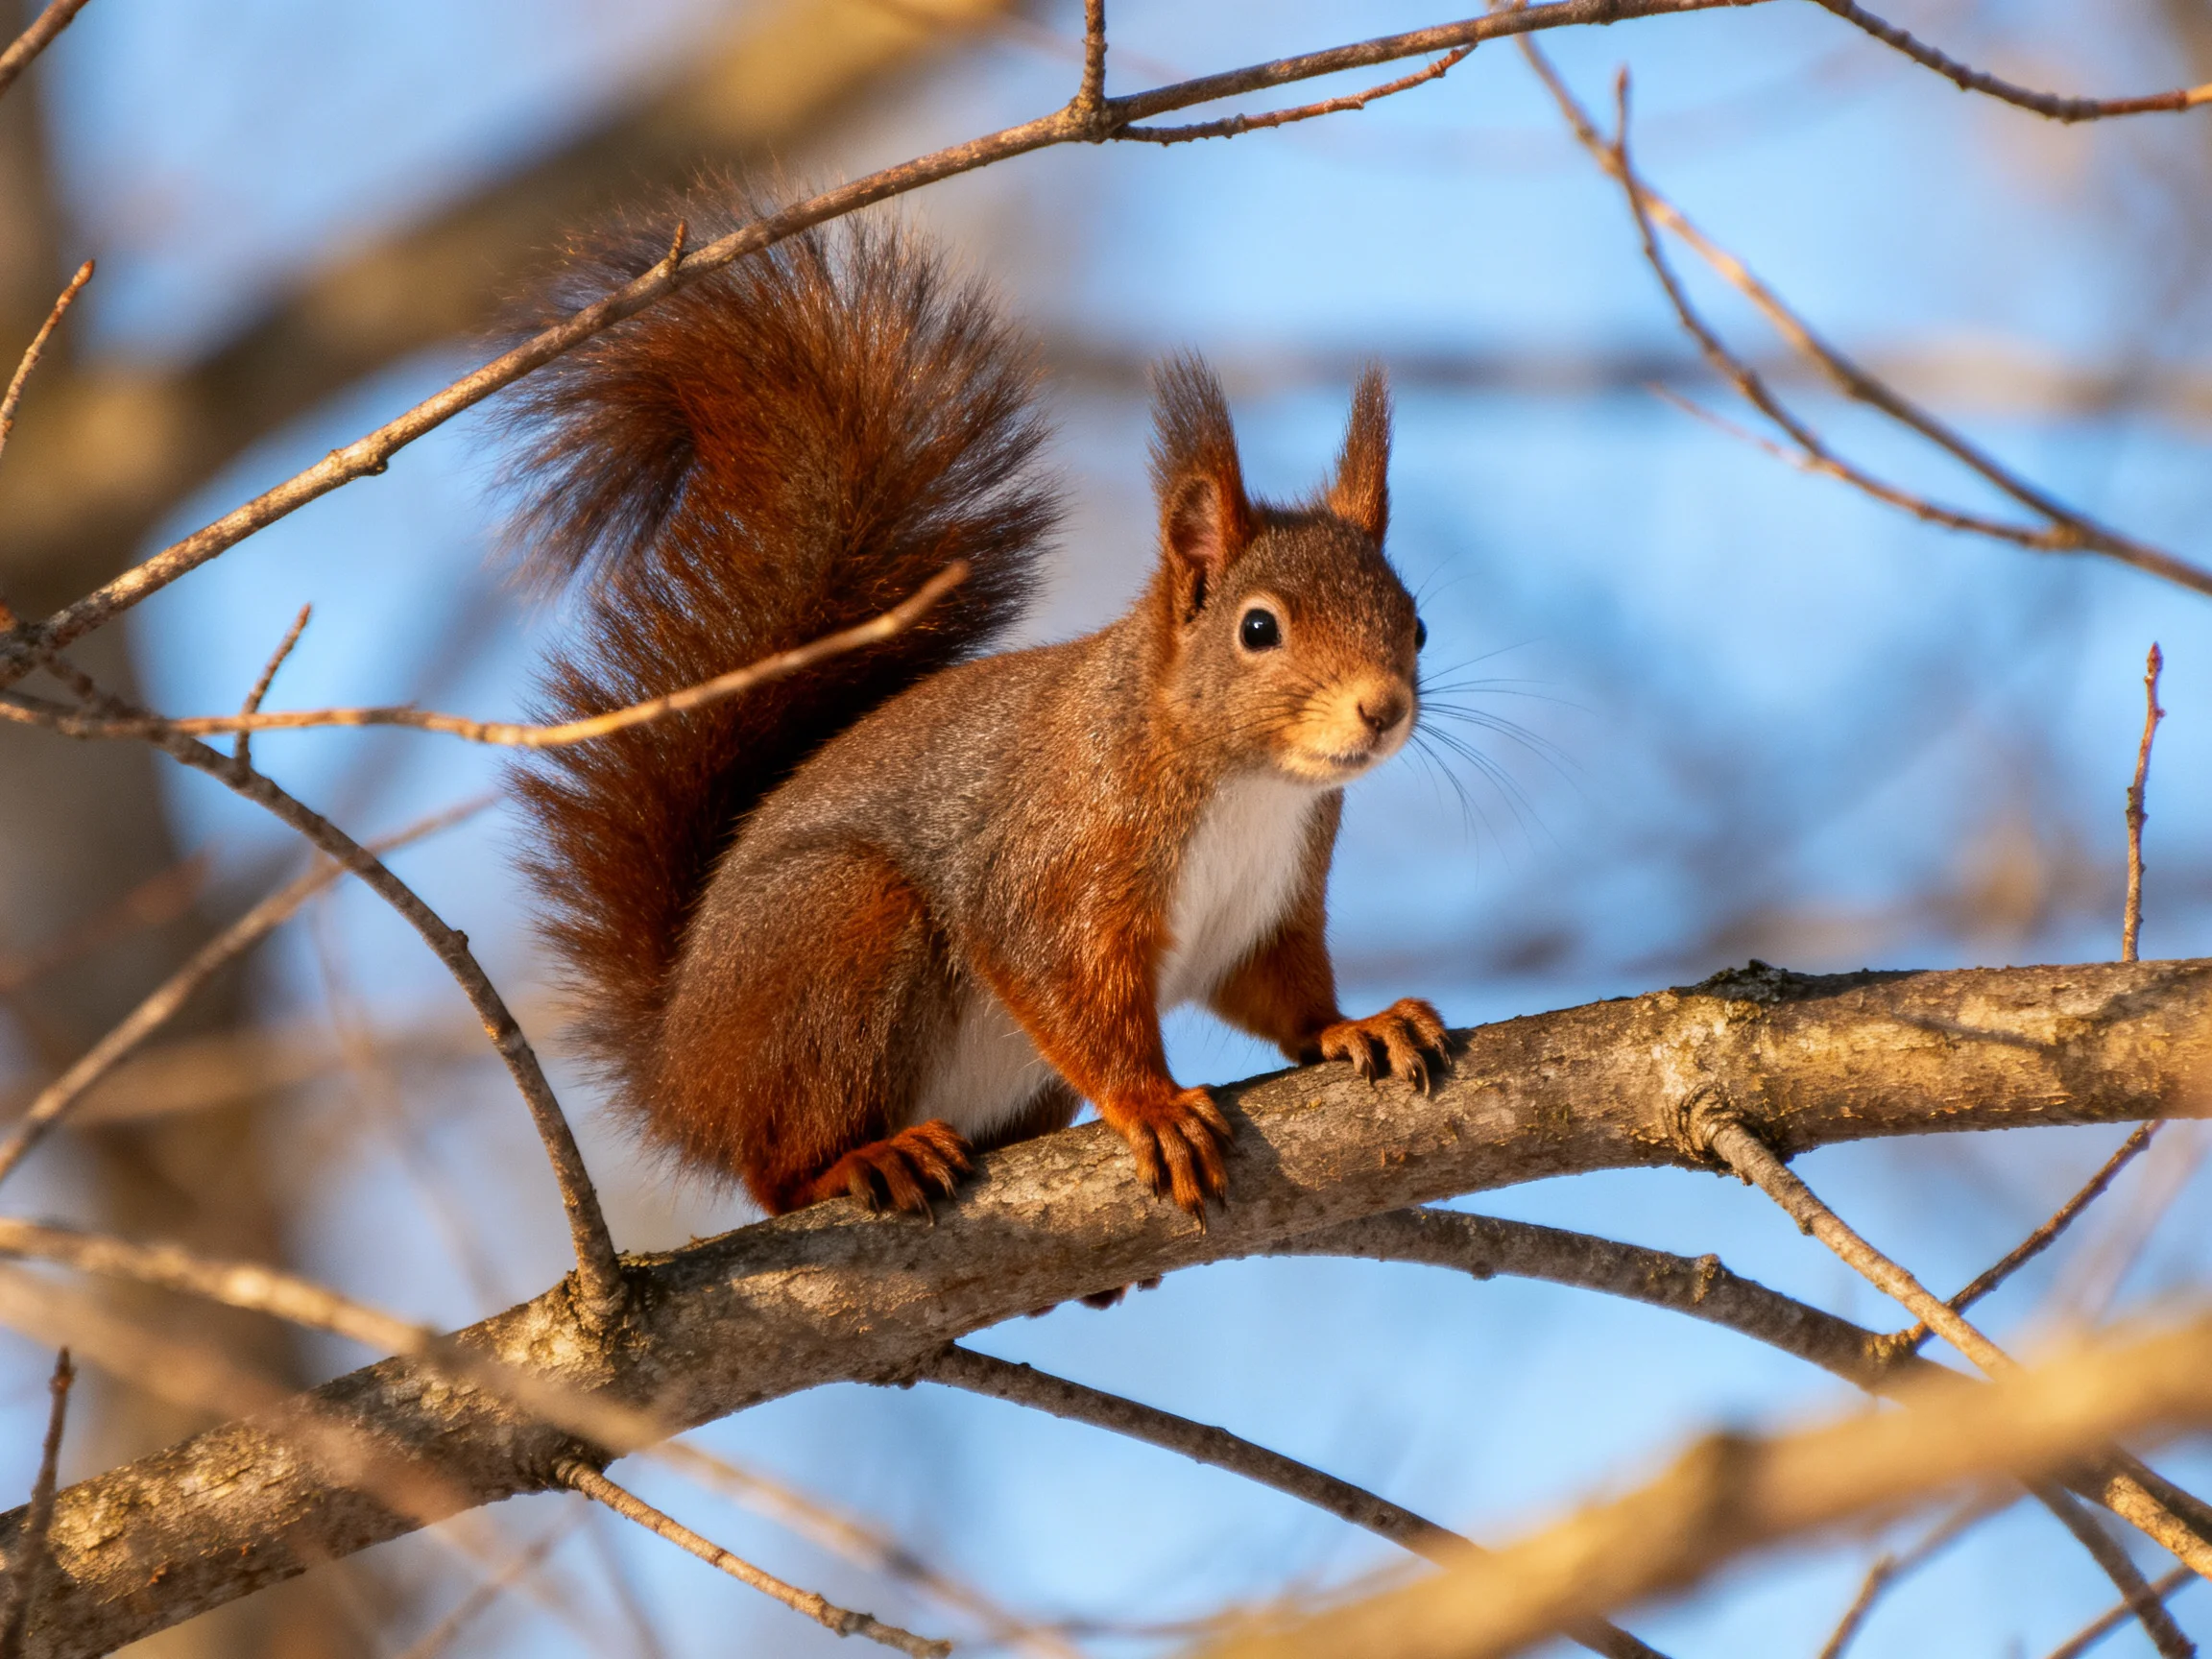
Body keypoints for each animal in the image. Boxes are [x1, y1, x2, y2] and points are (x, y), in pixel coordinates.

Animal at [503, 199, 1446, 1223]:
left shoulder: (1271, 908)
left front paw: (1356, 1024)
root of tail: (679, 1077)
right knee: (779, 1171)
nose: (1383, 709)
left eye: (1417, 624)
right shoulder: (1052, 864)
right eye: (1259, 628)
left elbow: (1283, 993)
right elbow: (1060, 983)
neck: (1247, 786)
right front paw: (1153, 1106)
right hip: (840, 927)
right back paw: (863, 1159)